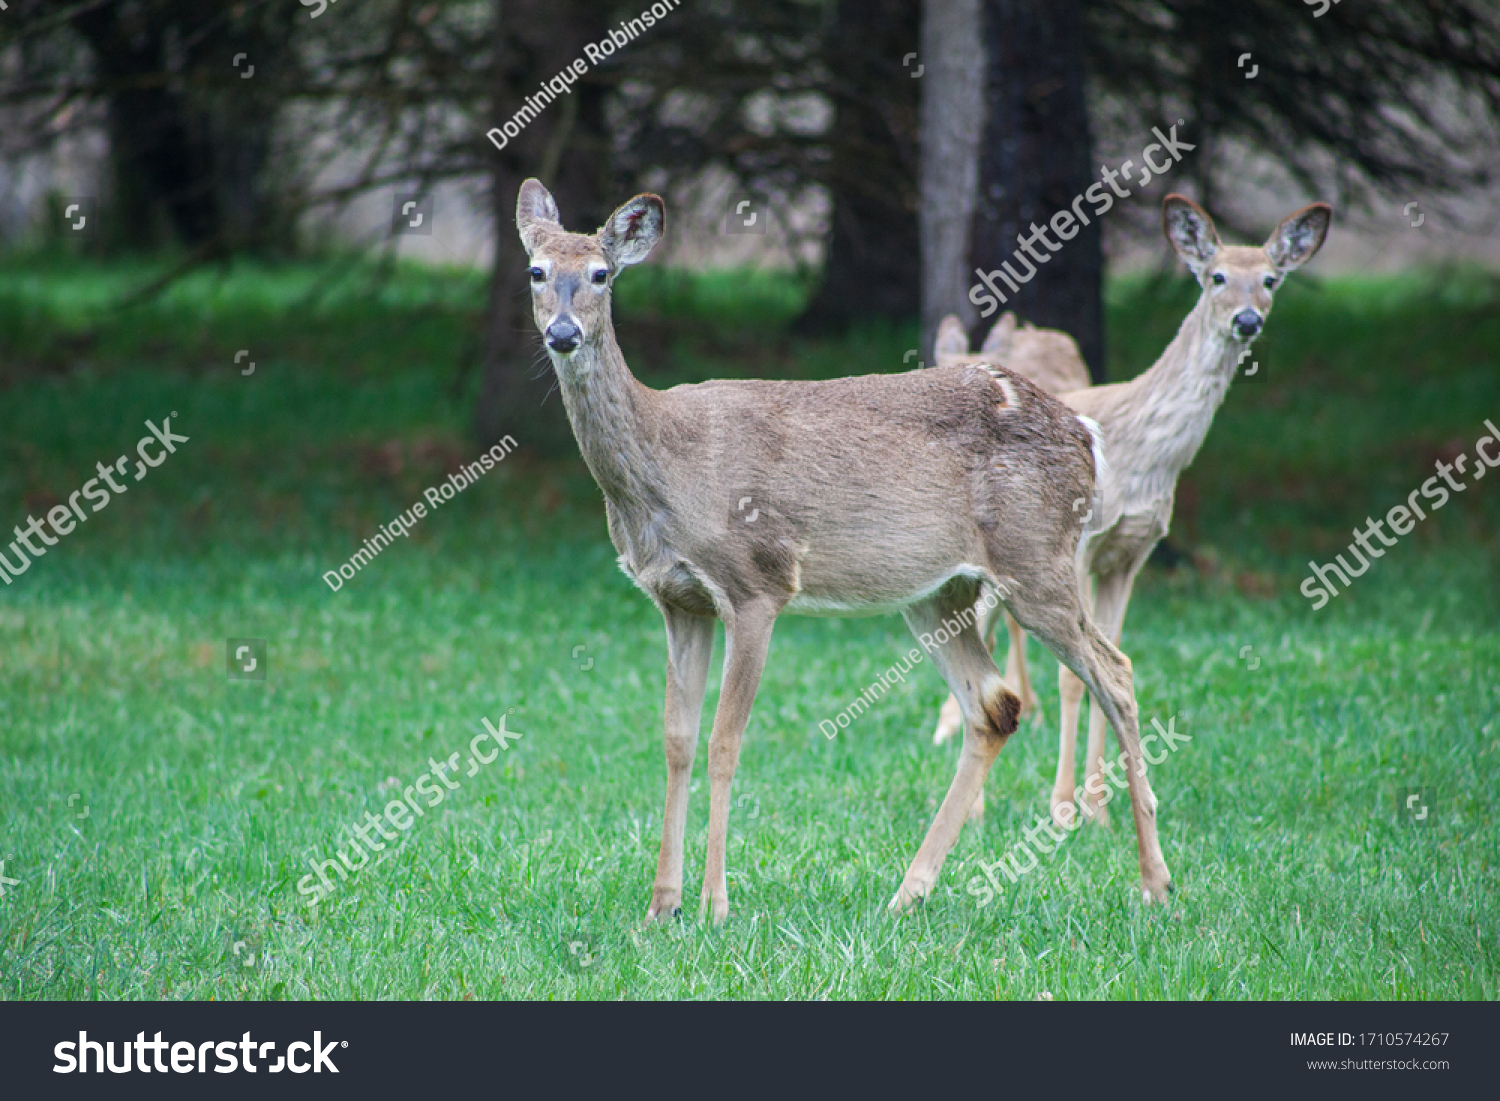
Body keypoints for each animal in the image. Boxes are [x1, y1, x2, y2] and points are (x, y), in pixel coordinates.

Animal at [516, 179, 1170, 924]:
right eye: (536, 272)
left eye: (601, 275)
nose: (562, 334)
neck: (664, 468)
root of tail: (1085, 433)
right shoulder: (679, 601)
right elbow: (676, 740)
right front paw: (661, 905)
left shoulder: (756, 584)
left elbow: (723, 740)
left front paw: (714, 903)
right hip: (939, 592)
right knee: (996, 706)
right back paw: (908, 891)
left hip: (1036, 560)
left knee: (1115, 673)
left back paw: (1155, 882)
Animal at [930, 193, 1332, 834]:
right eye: (1217, 276)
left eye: (1271, 280)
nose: (1247, 320)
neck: (1143, 457)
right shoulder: (1082, 547)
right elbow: (1073, 678)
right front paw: (1062, 806)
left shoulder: (1131, 553)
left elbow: (1111, 664)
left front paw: (1099, 806)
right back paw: (974, 792)